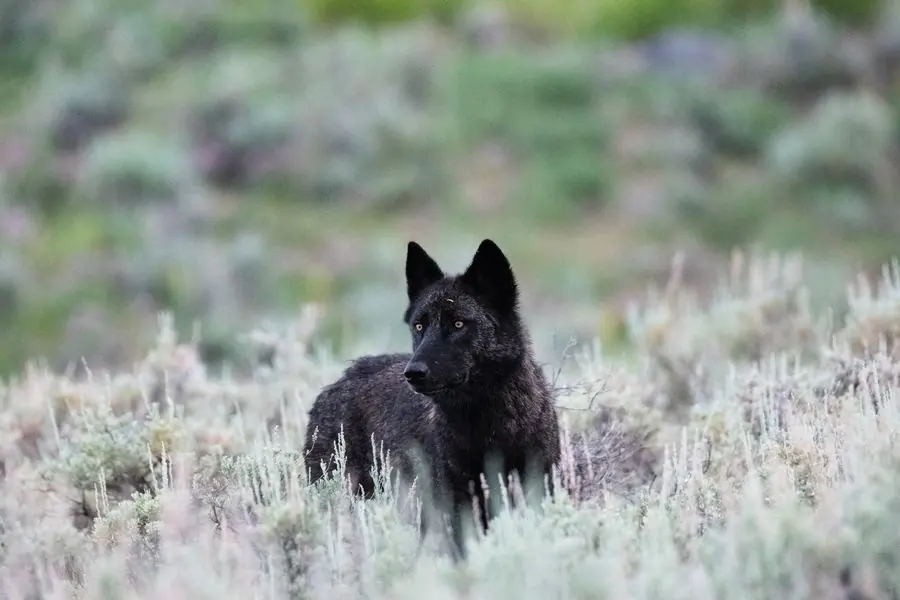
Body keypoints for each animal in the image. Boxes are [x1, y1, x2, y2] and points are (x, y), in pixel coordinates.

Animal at [302, 238, 562, 560]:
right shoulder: (460, 507)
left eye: (459, 324)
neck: (489, 426)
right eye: (419, 326)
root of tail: (336, 384)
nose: (413, 373)